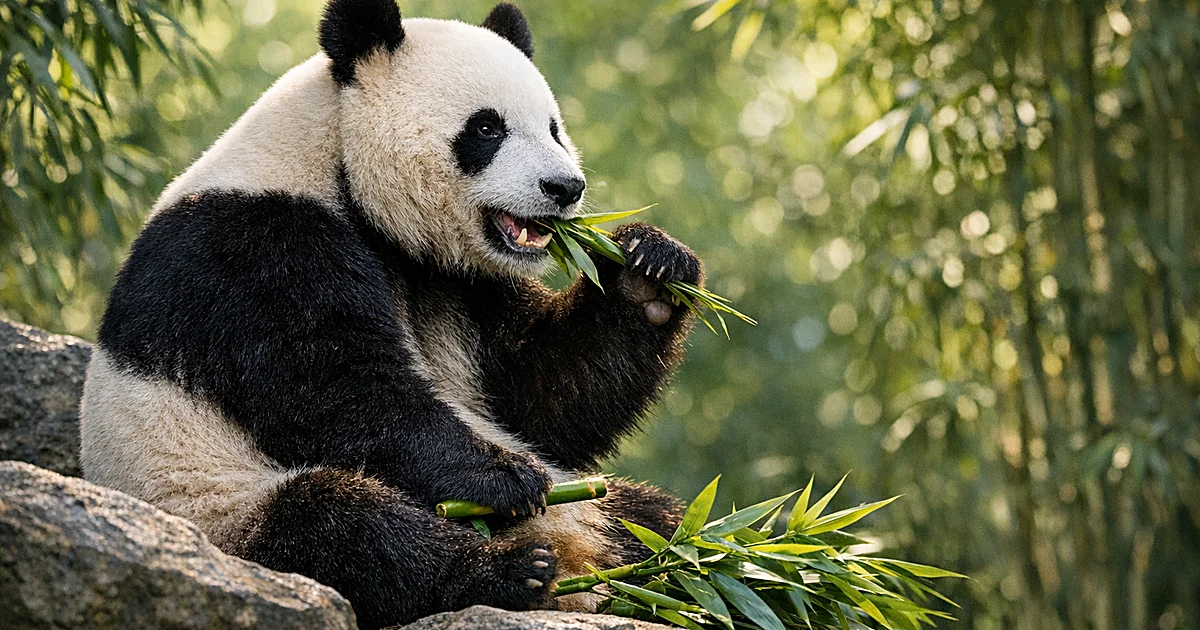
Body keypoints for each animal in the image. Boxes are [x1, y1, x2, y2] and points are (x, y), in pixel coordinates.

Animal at [79, 1, 703, 628]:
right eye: (487, 128)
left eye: (553, 128)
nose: (564, 187)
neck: (336, 161)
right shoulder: (252, 248)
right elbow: (337, 388)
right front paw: (502, 477)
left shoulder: (461, 284)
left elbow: (543, 397)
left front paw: (649, 272)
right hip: (215, 510)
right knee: (342, 530)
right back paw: (505, 571)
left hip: (605, 511)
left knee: (656, 521)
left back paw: (678, 575)